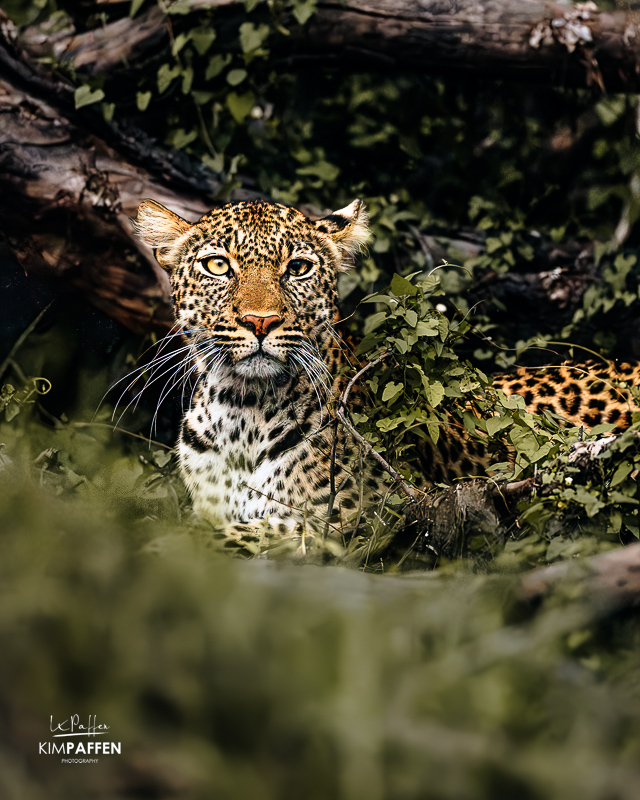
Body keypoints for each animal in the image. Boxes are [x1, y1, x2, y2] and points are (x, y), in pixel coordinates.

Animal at [134, 196, 640, 547]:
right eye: (218, 265)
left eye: (297, 267)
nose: (261, 321)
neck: (241, 407)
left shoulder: (355, 518)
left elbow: (220, 538)